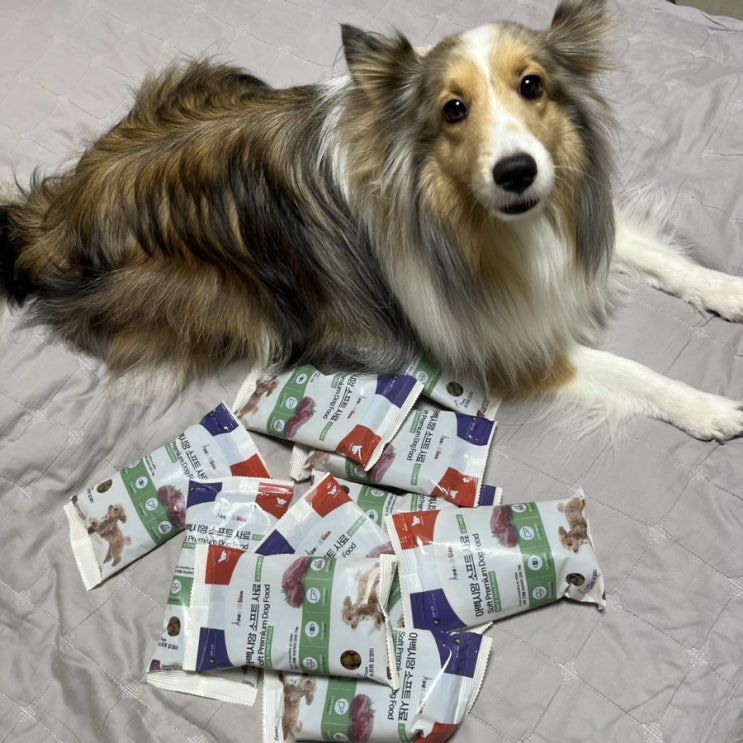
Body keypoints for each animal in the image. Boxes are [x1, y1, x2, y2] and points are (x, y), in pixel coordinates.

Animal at [1, 0, 742, 440]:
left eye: (531, 85)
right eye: (452, 109)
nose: (517, 173)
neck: (486, 225)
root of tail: (56, 213)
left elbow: (656, 254)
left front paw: (727, 289)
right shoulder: (497, 347)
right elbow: (626, 370)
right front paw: (708, 408)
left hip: (218, 75)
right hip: (225, 299)